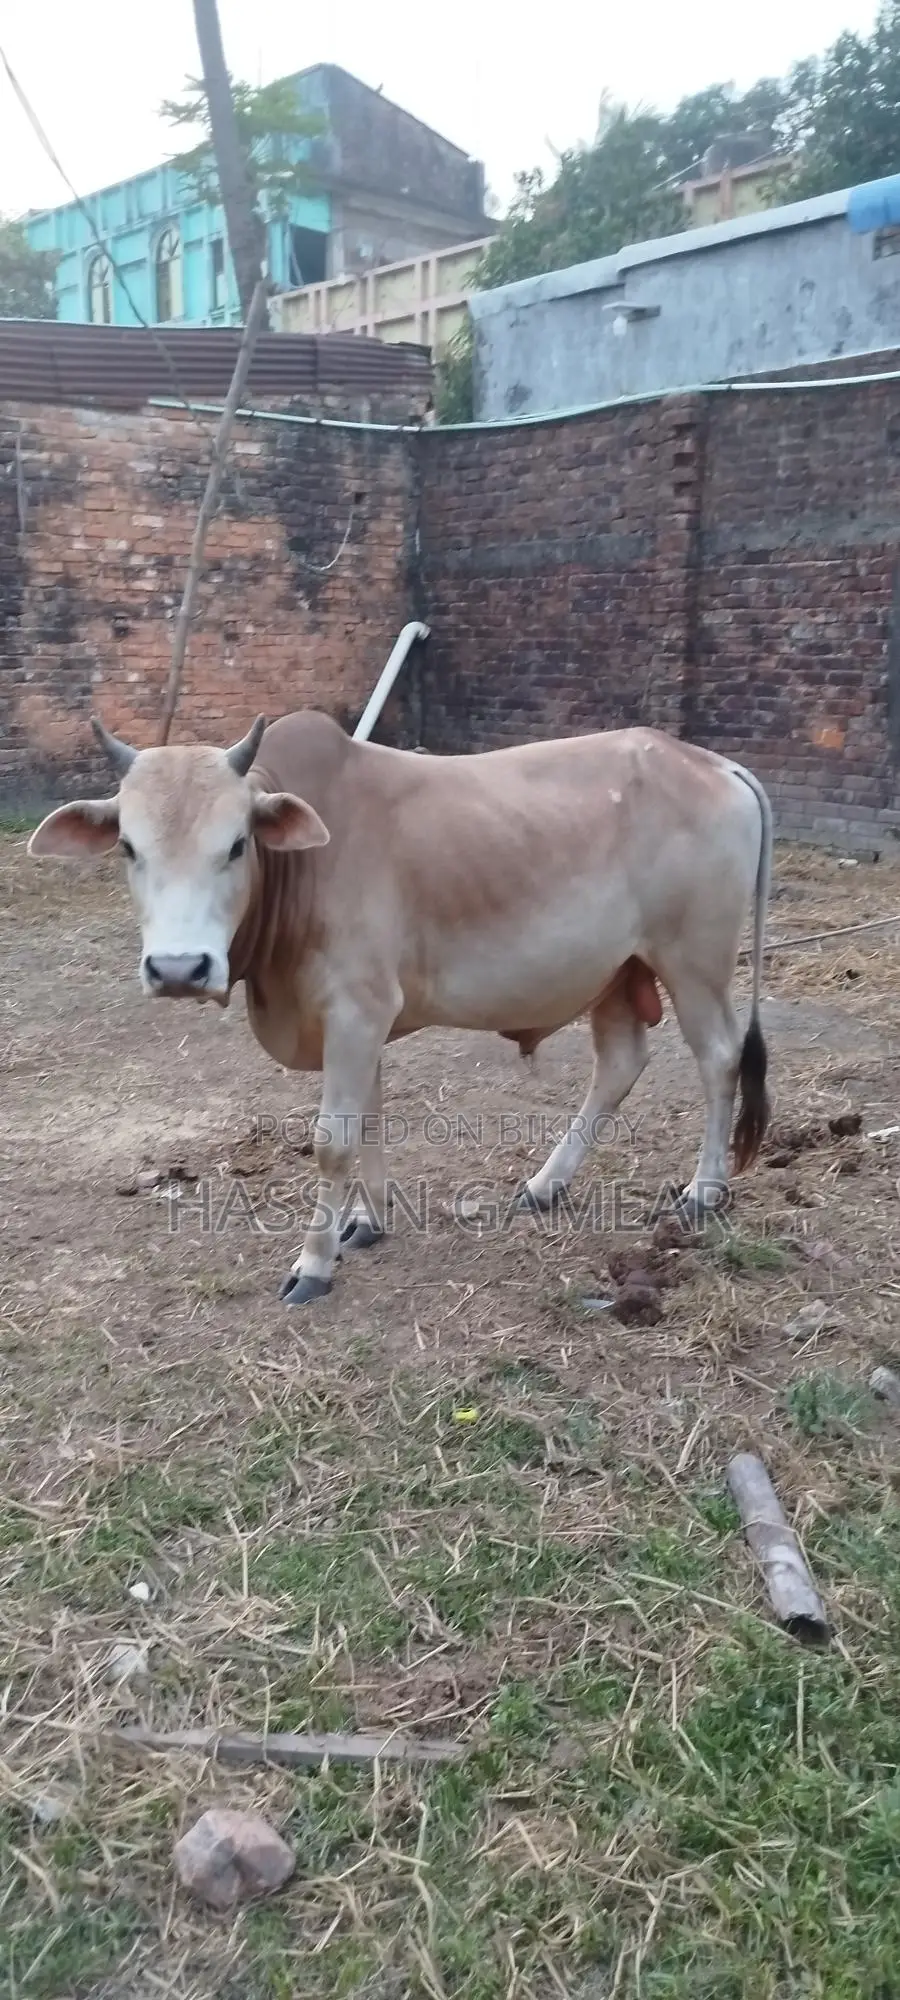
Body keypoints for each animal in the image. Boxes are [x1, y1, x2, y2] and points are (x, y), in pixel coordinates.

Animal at [28, 711, 772, 1307]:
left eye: (237, 844)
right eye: (129, 847)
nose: (179, 969)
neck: (303, 870)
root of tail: (713, 763)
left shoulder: (359, 1009)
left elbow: (334, 1141)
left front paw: (315, 1264)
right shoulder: (360, 1022)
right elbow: (370, 1121)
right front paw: (368, 1222)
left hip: (694, 963)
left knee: (718, 1059)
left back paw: (702, 1191)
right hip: (618, 973)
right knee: (619, 1065)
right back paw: (544, 1184)